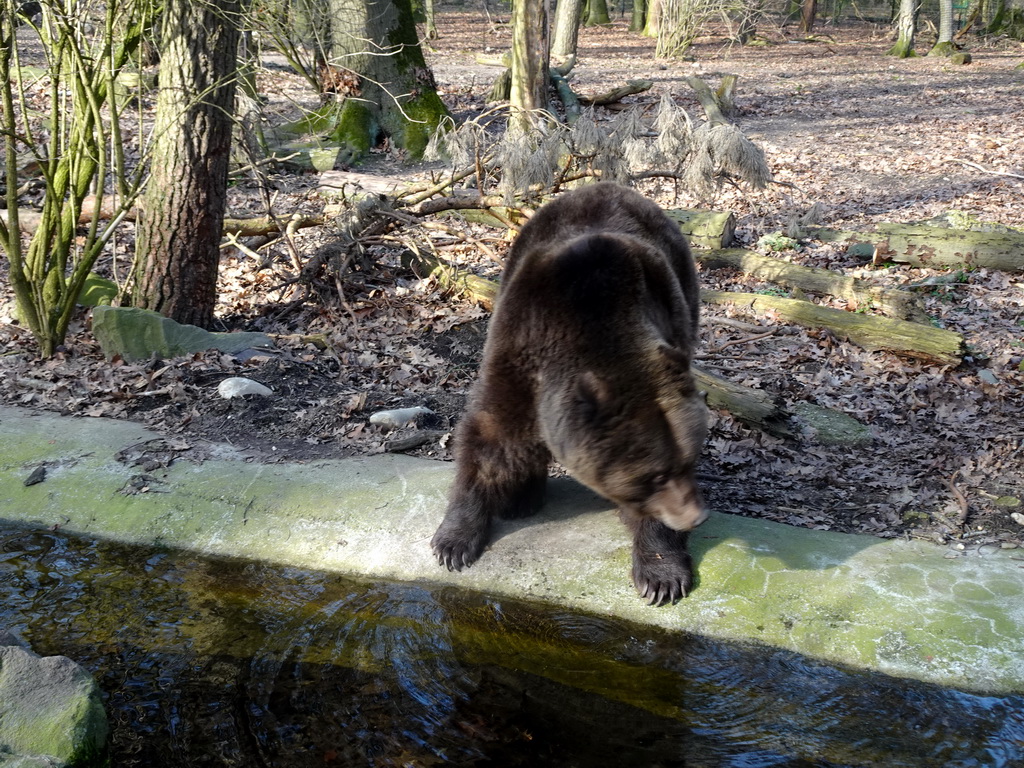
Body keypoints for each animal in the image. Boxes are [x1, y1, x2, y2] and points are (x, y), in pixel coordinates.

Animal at [428, 182, 708, 606]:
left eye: (688, 461)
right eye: (655, 475)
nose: (695, 516)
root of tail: (607, 185)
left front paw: (661, 575)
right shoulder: (518, 351)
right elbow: (489, 440)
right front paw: (453, 543)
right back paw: (522, 499)